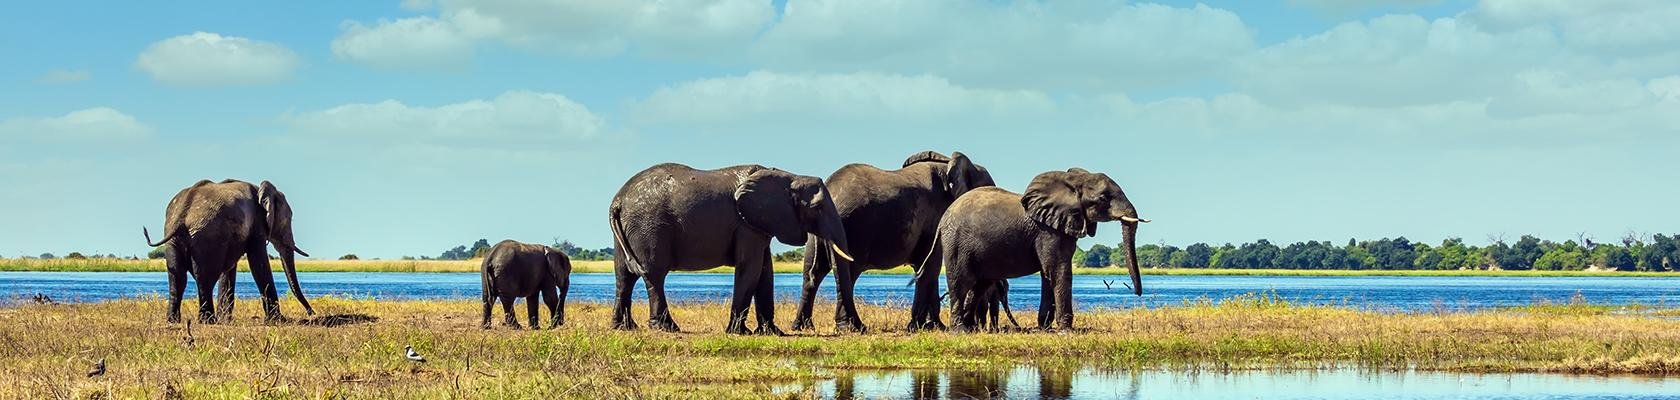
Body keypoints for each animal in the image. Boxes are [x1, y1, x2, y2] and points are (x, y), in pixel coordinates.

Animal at [142, 179, 314, 322]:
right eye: (289, 218)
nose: (311, 313)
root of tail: (182, 214)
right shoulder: (257, 224)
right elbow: (258, 263)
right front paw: (278, 320)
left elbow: (229, 271)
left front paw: (226, 320)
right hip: (207, 238)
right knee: (204, 277)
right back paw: (208, 320)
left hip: (174, 241)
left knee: (177, 277)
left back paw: (174, 320)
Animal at [608, 162, 853, 334]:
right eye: (817, 208)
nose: (850, 328)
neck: (789, 177)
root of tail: (617, 201)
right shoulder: (745, 224)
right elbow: (751, 269)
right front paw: (740, 332)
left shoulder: (757, 224)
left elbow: (765, 271)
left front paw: (772, 332)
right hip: (649, 227)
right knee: (654, 274)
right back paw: (666, 328)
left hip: (630, 230)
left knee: (624, 276)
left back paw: (624, 327)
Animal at [789, 149, 987, 331]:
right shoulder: (937, 216)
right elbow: (931, 266)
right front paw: (921, 327)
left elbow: (926, 266)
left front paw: (933, 327)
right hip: (856, 226)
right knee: (848, 273)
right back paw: (853, 327)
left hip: (818, 231)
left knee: (812, 273)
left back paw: (803, 326)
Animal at [927, 168, 1149, 331]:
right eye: (1103, 197)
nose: (1137, 293)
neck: (1072, 181)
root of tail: (943, 219)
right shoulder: (1048, 231)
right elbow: (1058, 270)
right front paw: (1066, 330)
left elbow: (1048, 273)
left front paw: (1045, 328)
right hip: (956, 243)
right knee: (961, 281)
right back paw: (960, 330)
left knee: (980, 284)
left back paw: (970, 328)